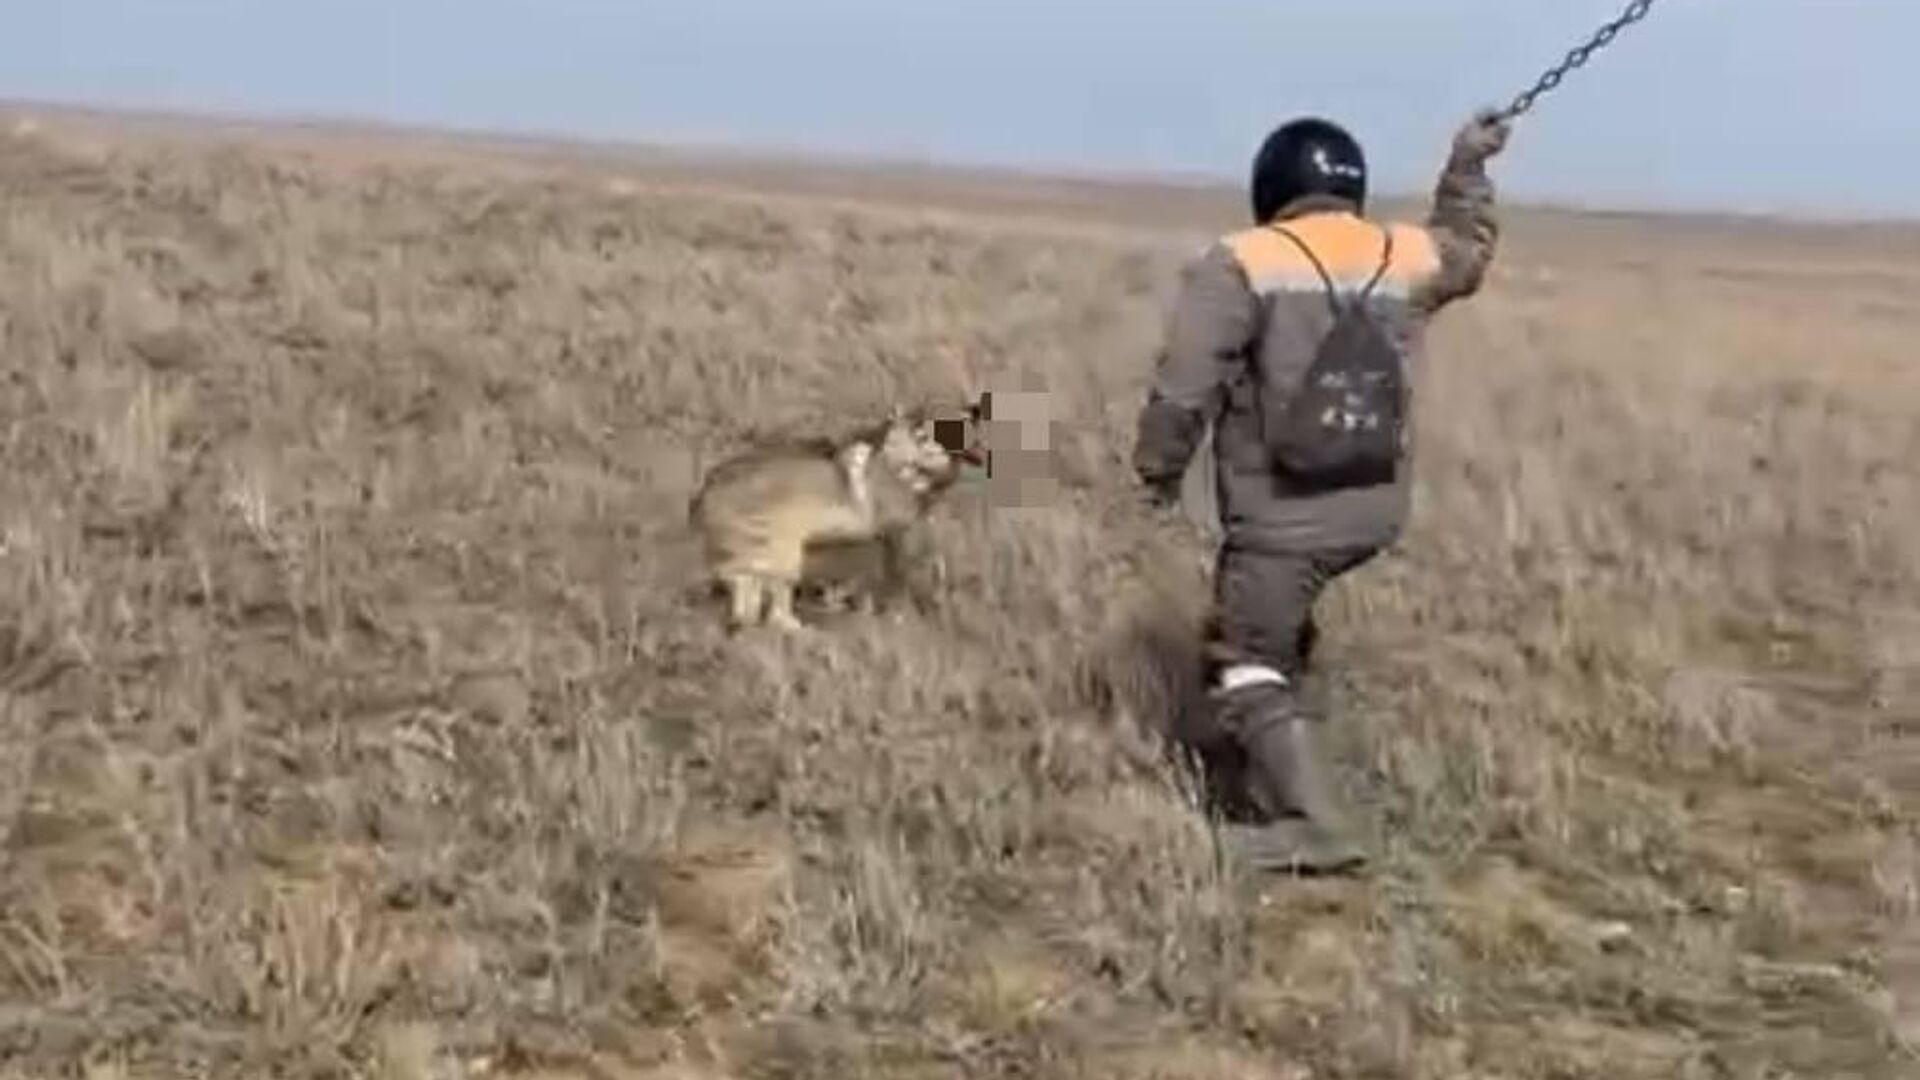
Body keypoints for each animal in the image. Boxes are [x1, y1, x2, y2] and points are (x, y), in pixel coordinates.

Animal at [691, 399, 983, 626]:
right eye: (924, 433)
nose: (974, 453)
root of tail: (706, 490)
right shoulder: (896, 527)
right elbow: (911, 565)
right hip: (784, 554)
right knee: (774, 613)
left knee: (748, 606)